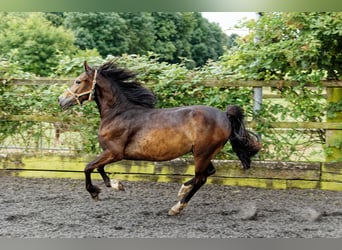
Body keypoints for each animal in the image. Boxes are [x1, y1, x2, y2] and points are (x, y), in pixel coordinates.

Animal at [58, 60, 262, 215]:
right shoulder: (110, 152)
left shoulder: (115, 152)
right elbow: (98, 168)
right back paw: (182, 189)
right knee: (207, 173)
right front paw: (116, 185)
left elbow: (88, 167)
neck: (118, 113)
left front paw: (95, 192)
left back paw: (177, 207)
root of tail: (225, 115)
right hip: (202, 153)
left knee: (201, 178)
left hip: (202, 153)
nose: (61, 100)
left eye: (78, 81)